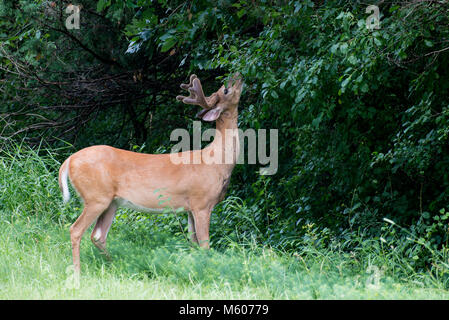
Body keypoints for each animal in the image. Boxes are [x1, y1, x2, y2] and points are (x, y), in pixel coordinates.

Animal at [59, 73, 243, 276]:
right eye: (225, 89)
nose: (238, 76)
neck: (215, 161)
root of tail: (69, 161)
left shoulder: (190, 208)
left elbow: (193, 244)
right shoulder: (202, 202)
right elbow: (205, 245)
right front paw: (207, 271)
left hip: (111, 202)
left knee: (98, 235)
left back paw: (115, 266)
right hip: (95, 196)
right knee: (76, 230)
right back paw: (77, 273)